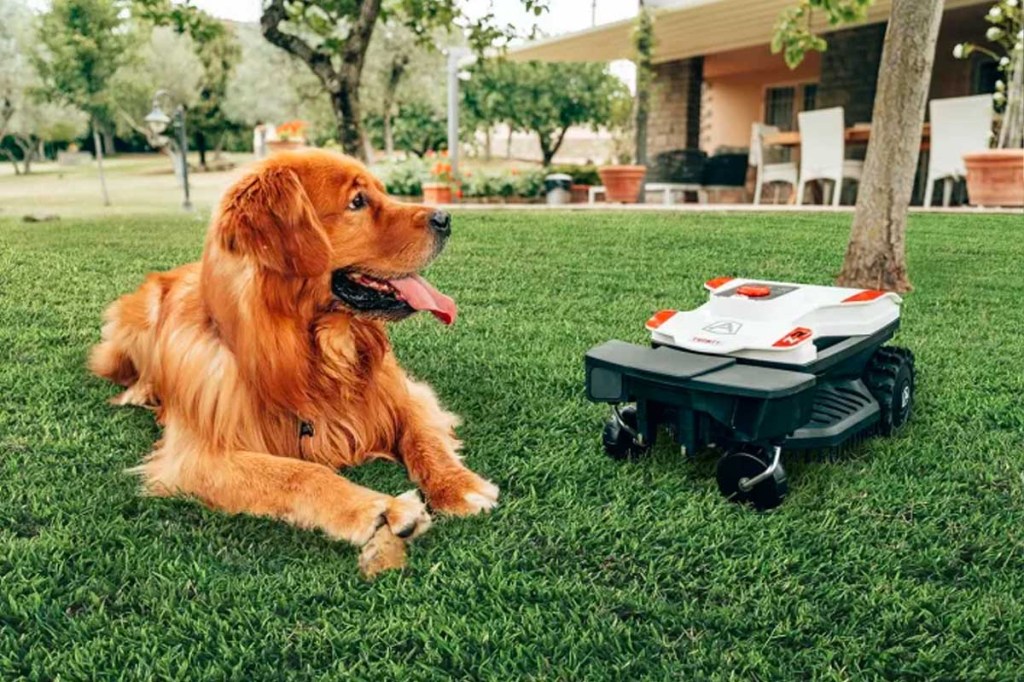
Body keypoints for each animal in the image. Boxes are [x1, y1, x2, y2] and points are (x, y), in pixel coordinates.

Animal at [90, 151, 497, 569]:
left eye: (382, 192)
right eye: (357, 202)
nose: (445, 218)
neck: (312, 355)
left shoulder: (405, 395)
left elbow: (423, 439)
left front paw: (459, 485)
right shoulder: (199, 456)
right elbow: (301, 473)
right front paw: (382, 510)